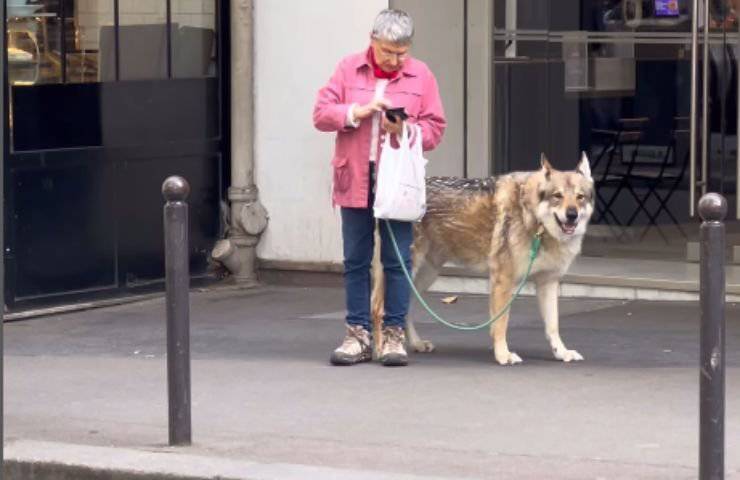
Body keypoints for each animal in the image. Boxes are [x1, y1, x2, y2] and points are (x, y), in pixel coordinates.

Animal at [370, 152, 596, 366]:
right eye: (557, 196)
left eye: (580, 197)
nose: (572, 215)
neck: (534, 220)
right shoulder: (503, 280)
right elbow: (501, 324)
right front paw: (503, 355)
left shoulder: (548, 282)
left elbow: (553, 326)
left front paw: (562, 353)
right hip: (404, 270)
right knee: (378, 307)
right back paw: (382, 351)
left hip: (424, 276)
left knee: (404, 307)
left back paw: (416, 344)